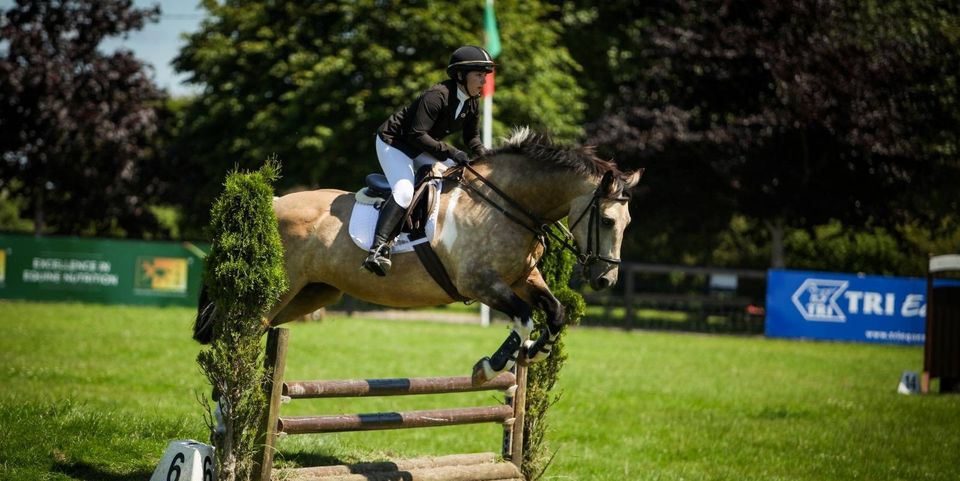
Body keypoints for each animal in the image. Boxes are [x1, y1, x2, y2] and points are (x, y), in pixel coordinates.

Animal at [193, 126, 644, 382]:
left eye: (627, 222)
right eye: (607, 220)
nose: (605, 279)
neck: (506, 202)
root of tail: (273, 201)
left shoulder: (522, 278)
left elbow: (554, 313)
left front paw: (534, 352)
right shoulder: (480, 284)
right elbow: (524, 317)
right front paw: (490, 367)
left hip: (310, 293)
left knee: (251, 329)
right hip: (278, 289)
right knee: (239, 330)